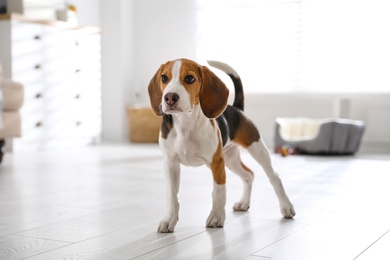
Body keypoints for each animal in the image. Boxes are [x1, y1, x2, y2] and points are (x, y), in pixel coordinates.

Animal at [148, 58, 294, 232]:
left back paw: (286, 207)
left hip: (257, 149)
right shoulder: (171, 164)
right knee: (249, 175)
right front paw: (169, 220)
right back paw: (244, 203)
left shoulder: (216, 163)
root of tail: (237, 108)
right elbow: (172, 195)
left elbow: (218, 192)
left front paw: (216, 217)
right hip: (231, 159)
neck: (185, 124)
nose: (170, 97)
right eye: (164, 78)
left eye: (190, 78)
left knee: (275, 177)